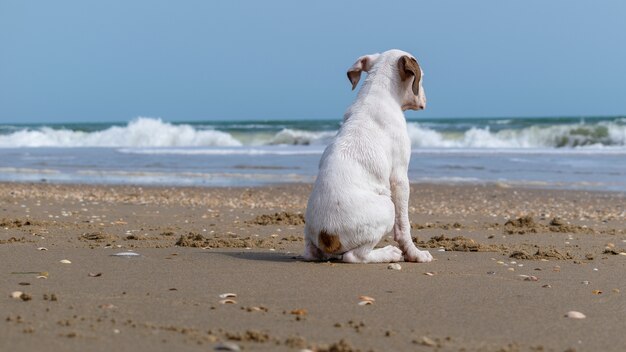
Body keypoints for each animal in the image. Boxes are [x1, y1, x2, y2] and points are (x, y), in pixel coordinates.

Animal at [304, 49, 434, 264]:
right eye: (421, 76)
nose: (426, 100)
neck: (377, 91)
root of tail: (327, 236)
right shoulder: (399, 178)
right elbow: (404, 225)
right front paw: (415, 254)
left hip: (309, 235)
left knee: (311, 253)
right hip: (388, 207)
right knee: (355, 256)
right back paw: (388, 253)